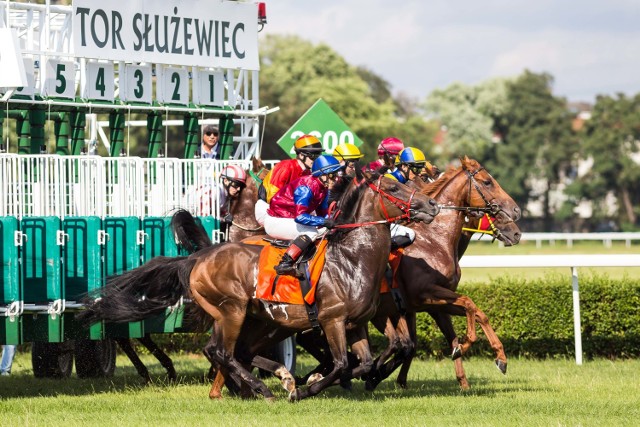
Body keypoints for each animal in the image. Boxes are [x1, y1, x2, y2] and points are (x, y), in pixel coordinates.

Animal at [79, 170, 440, 402]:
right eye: (393, 188)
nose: (432, 206)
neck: (352, 258)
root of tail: (199, 257)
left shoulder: (354, 324)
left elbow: (361, 363)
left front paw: (314, 380)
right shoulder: (331, 320)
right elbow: (340, 365)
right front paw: (305, 387)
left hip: (256, 319)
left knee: (232, 351)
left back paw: (258, 384)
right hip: (233, 311)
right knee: (222, 351)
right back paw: (263, 387)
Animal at [362, 157, 524, 392]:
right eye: (487, 182)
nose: (516, 213)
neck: (435, 239)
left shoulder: (434, 303)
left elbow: (474, 314)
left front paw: (494, 360)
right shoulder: (425, 295)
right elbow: (467, 304)